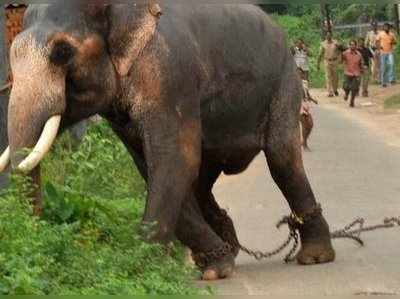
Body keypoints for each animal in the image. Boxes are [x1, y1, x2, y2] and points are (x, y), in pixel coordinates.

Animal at [0, 2, 336, 282]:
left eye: (62, 52)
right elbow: (152, 165)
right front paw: (216, 266)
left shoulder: (168, 74)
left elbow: (174, 159)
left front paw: (140, 270)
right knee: (202, 180)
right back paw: (231, 246)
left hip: (285, 82)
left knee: (282, 159)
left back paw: (315, 257)